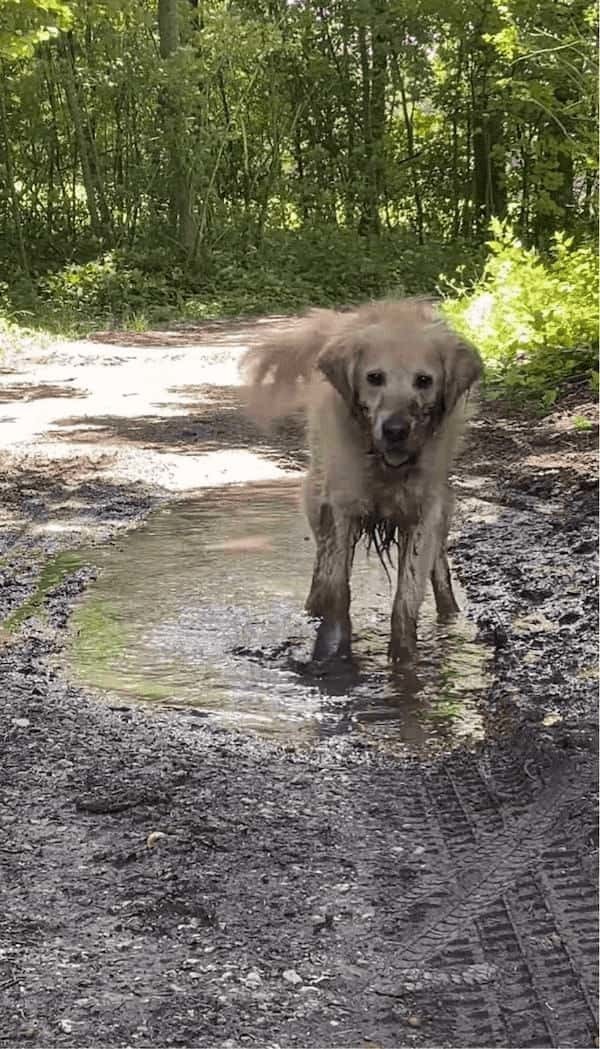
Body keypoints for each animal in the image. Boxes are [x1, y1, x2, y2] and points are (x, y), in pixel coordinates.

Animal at [241, 302, 480, 662]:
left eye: (424, 380)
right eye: (374, 377)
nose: (395, 430)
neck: (384, 466)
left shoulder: (423, 512)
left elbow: (407, 595)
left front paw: (404, 658)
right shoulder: (343, 504)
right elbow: (337, 587)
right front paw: (332, 650)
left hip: (443, 508)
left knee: (439, 567)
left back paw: (450, 614)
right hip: (317, 495)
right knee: (321, 569)